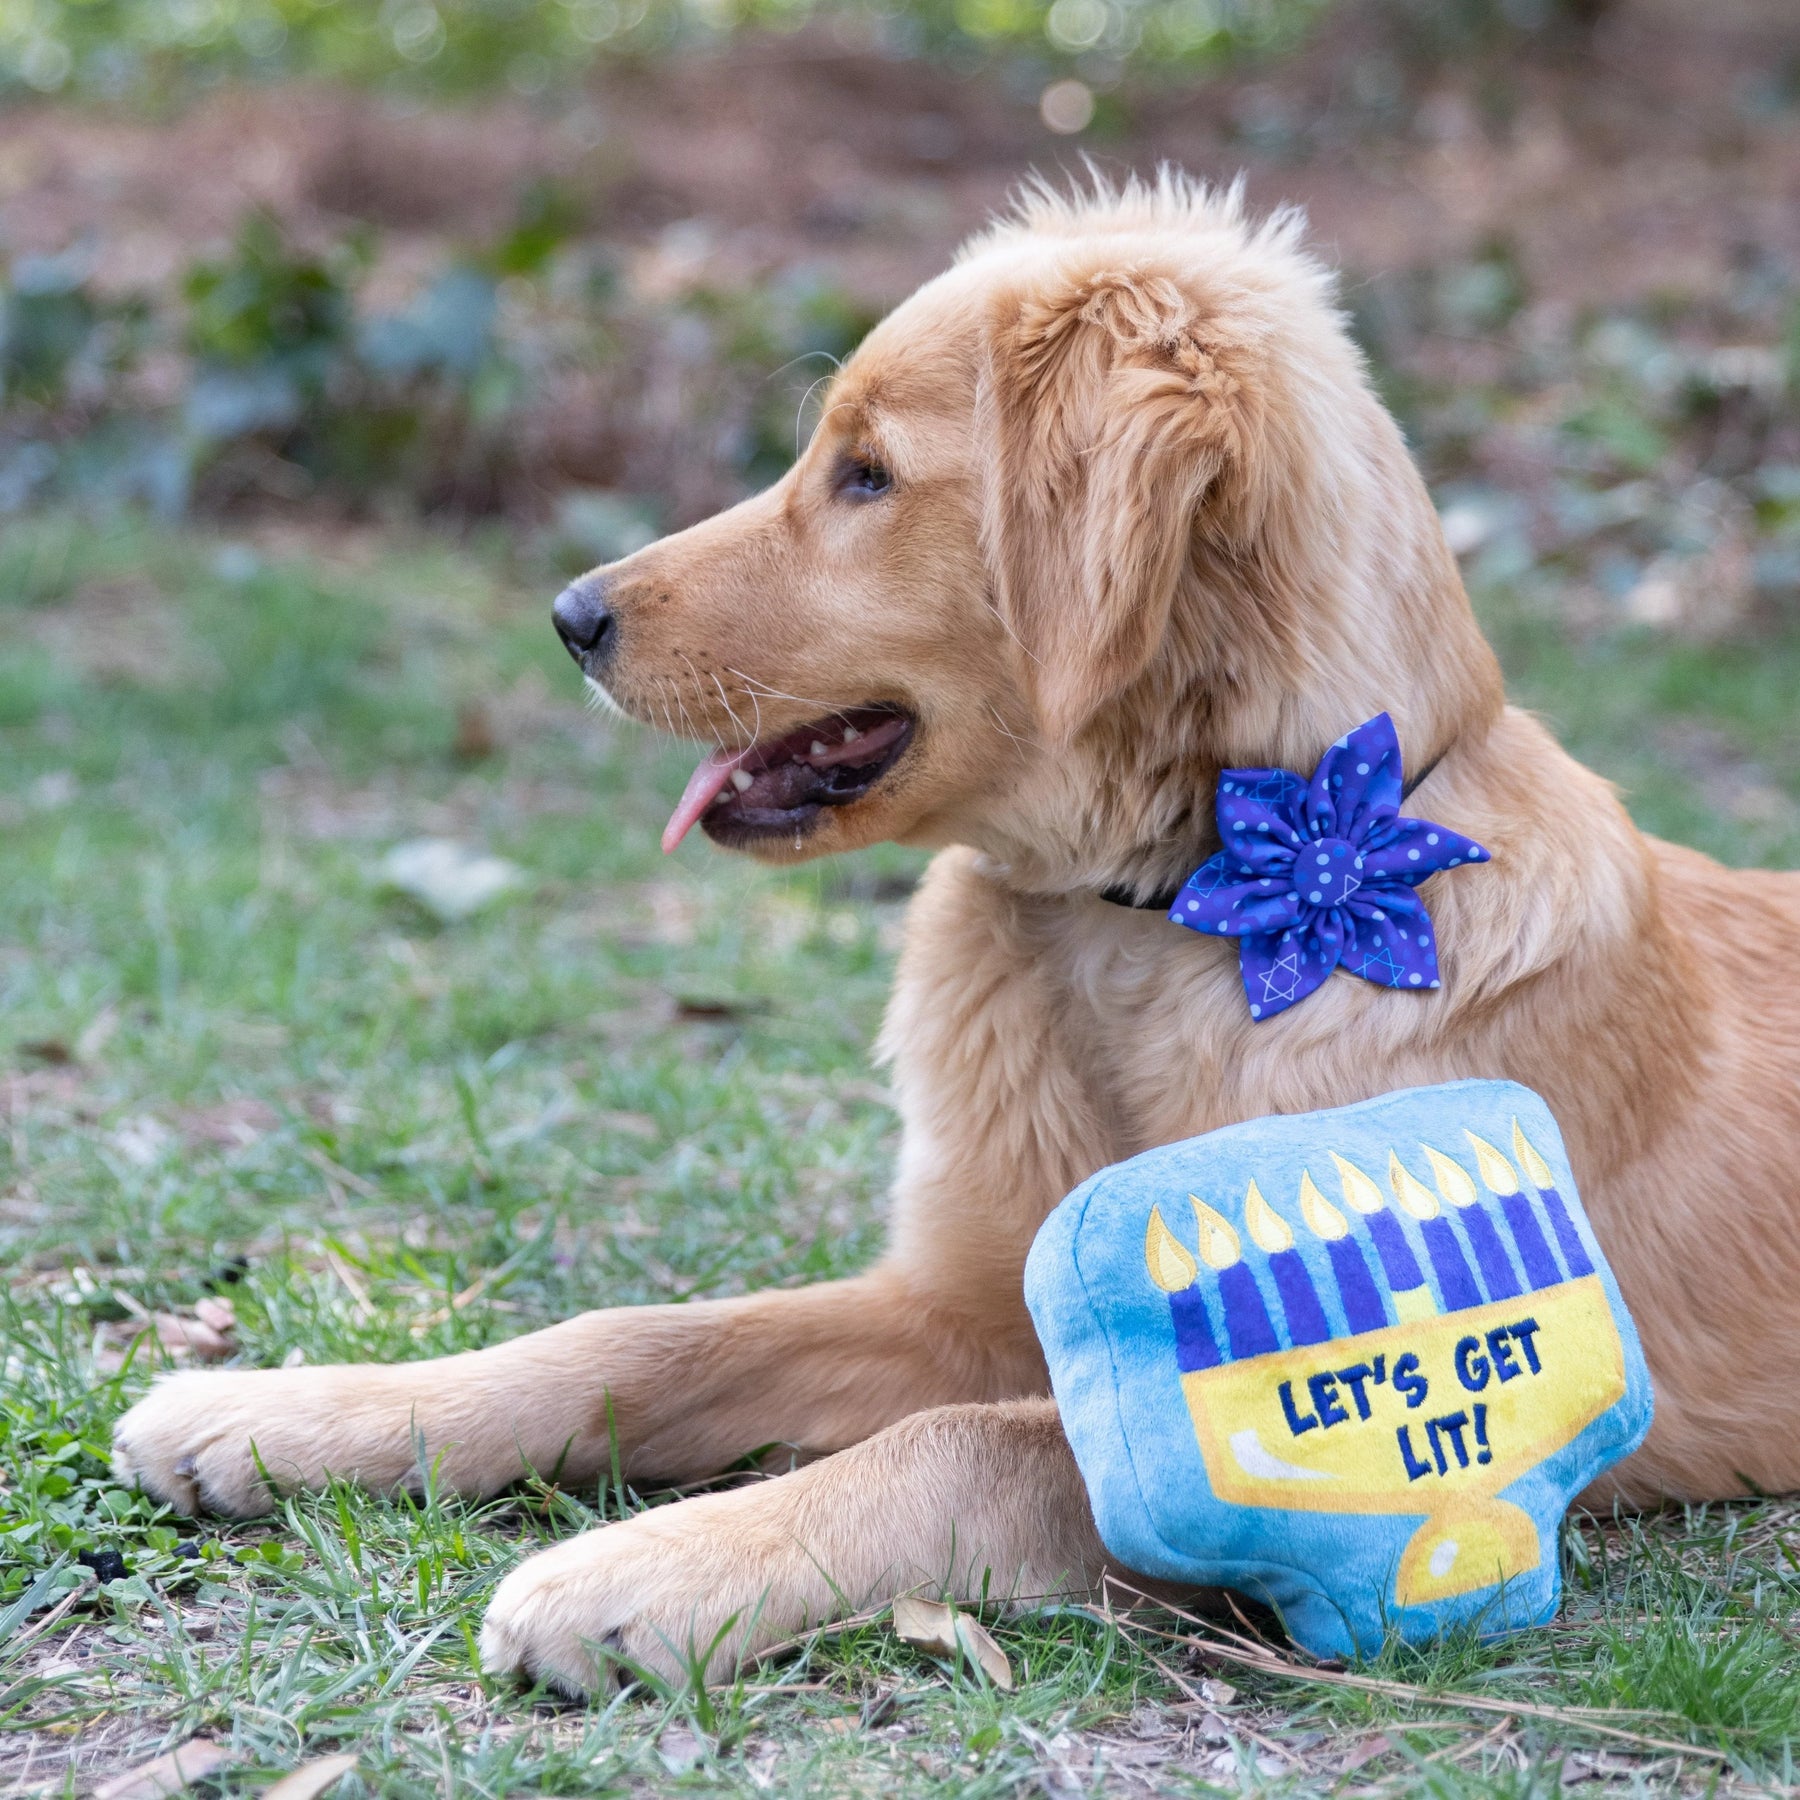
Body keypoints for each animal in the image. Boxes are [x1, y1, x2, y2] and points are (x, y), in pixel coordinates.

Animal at [112, 175, 1800, 1692]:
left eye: (867, 476)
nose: (571, 616)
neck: (1143, 925)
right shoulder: (955, 1301)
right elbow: (638, 1338)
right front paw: (282, 1414)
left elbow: (969, 1448)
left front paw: (644, 1568)